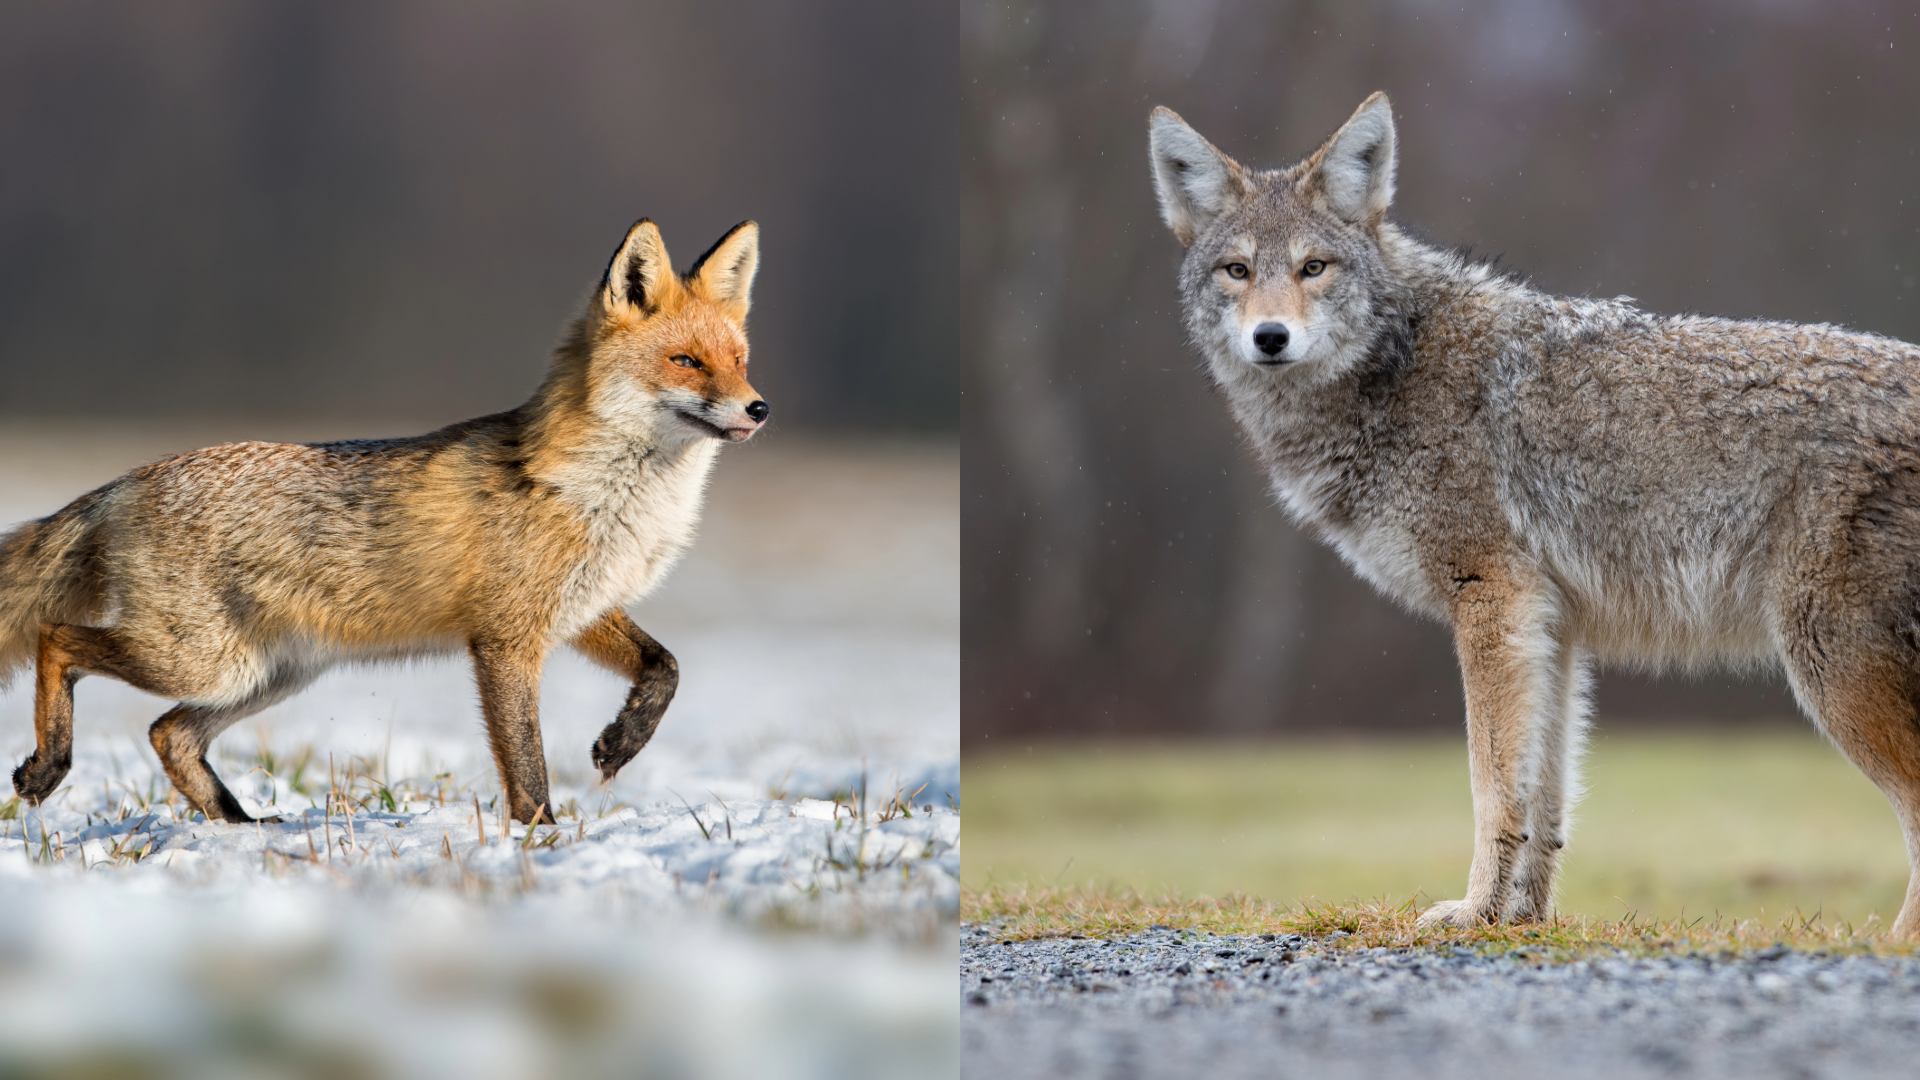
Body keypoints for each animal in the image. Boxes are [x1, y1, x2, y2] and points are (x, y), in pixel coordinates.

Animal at [0, 218, 768, 826]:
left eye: (739, 361)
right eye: (685, 361)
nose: (759, 408)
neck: (607, 498)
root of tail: (125, 480)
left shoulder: (579, 610)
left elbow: (666, 668)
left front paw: (621, 742)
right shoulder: (507, 640)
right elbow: (527, 766)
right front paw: (540, 840)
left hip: (262, 674)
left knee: (168, 734)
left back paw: (241, 826)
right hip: (202, 660)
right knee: (56, 638)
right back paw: (49, 765)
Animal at [1150, 92, 1920, 937]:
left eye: (1312, 268)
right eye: (1237, 271)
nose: (1270, 337)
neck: (1398, 366)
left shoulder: (1492, 598)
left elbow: (1493, 788)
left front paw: (1473, 912)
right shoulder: (1555, 626)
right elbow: (1543, 798)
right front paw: (1520, 919)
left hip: (1830, 666)